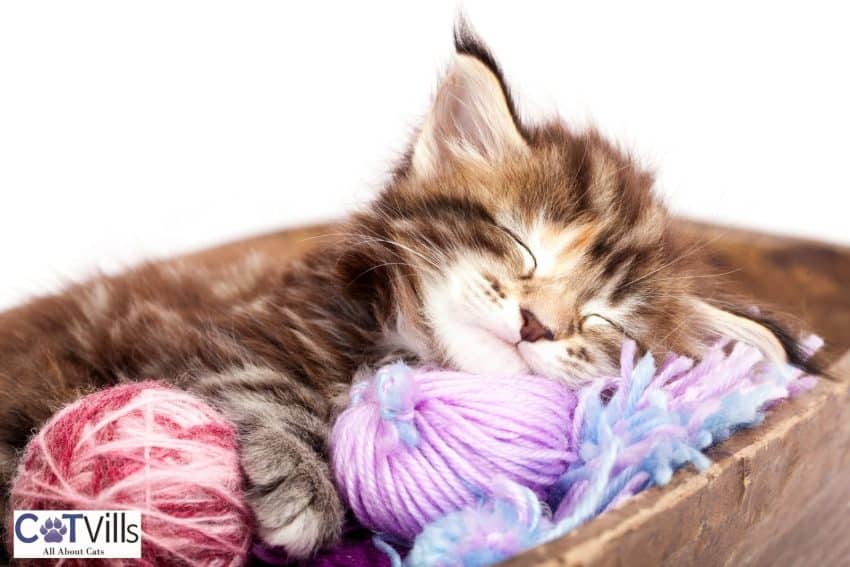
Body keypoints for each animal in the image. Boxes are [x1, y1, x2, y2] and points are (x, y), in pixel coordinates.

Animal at [0, 27, 812, 560]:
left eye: (602, 319)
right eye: (519, 242)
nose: (536, 323)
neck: (403, 341)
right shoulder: (210, 329)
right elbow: (264, 383)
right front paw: (302, 488)